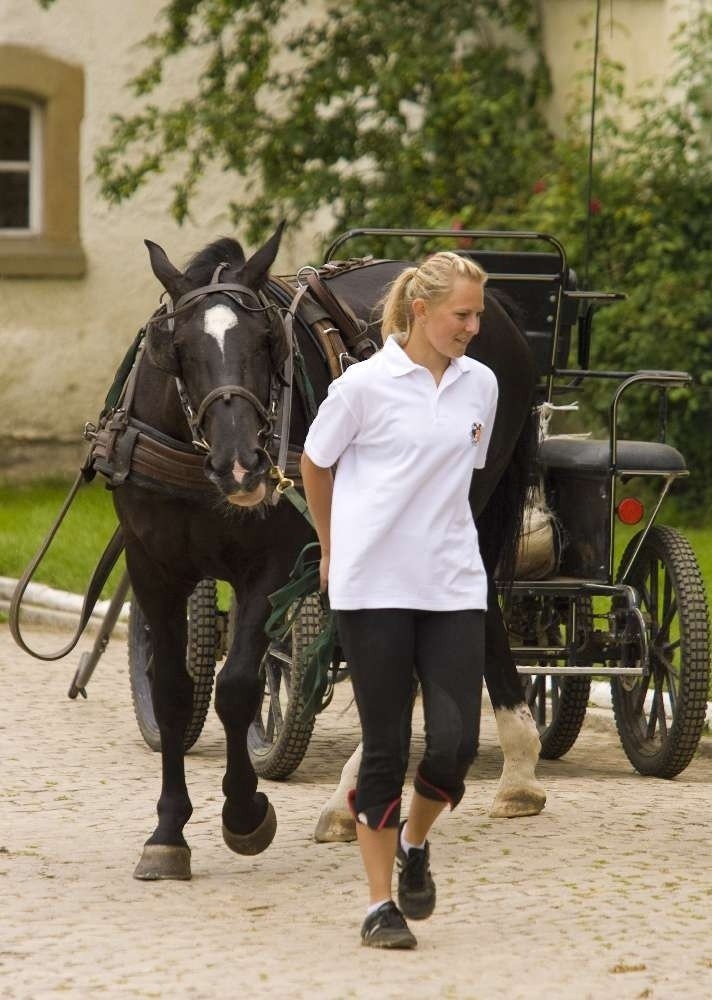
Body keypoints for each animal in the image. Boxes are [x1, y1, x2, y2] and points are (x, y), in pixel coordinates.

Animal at [118, 225, 540, 876]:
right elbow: (170, 694)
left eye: (267, 342)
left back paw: (356, 798)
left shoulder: (271, 565)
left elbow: (237, 688)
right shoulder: (152, 567)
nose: (242, 464)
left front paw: (245, 814)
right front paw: (168, 833)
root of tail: (496, 307)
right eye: (177, 346)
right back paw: (517, 772)